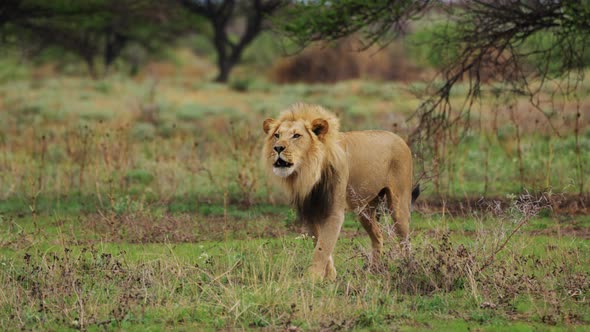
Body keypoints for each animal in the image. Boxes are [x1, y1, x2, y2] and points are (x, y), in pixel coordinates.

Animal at [264, 103, 420, 280]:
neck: (308, 173)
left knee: (405, 240)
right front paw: (330, 276)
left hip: (398, 205)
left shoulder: (334, 212)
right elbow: (320, 243)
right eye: (277, 135)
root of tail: (399, 138)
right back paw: (373, 270)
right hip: (364, 209)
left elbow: (323, 247)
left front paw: (312, 278)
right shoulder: (309, 212)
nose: (277, 148)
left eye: (296, 135)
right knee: (378, 235)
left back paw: (408, 268)